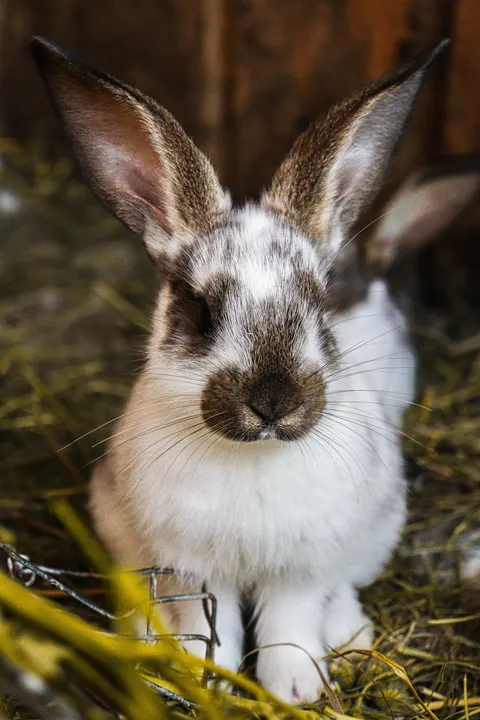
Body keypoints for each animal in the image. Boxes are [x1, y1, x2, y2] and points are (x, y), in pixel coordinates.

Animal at [32, 36, 457, 703]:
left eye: (321, 301)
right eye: (201, 310)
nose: (273, 401)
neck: (254, 456)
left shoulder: (300, 568)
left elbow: (289, 623)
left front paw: (296, 691)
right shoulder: (192, 566)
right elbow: (212, 627)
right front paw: (206, 679)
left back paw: (351, 635)